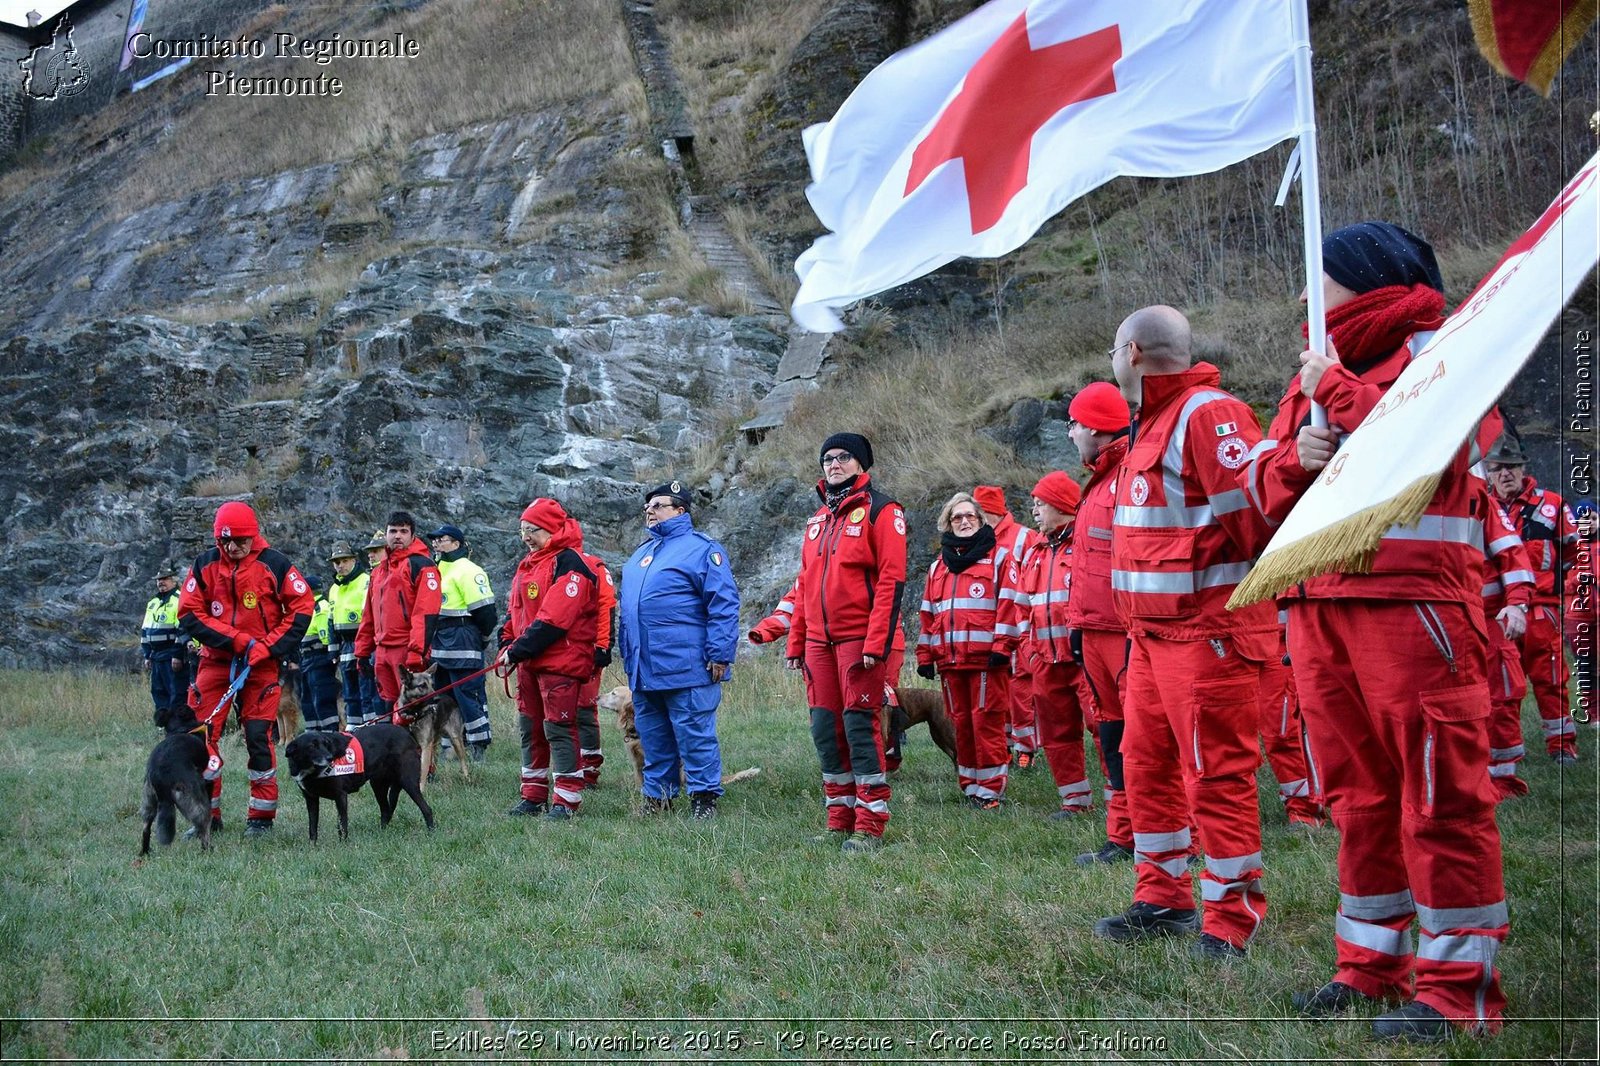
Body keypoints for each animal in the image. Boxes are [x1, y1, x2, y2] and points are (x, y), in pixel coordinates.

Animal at [140, 704, 216, 857]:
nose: (209, 725)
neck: (181, 728)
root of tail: (160, 776)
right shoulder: (207, 782)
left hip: (148, 802)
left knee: (146, 829)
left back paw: (144, 853)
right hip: (196, 800)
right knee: (203, 827)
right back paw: (208, 850)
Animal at [281, 723, 432, 838]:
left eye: (325, 744)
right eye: (312, 746)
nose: (330, 758)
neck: (310, 769)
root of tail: (408, 734)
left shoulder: (340, 796)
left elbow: (342, 824)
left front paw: (343, 845)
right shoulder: (311, 799)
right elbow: (312, 827)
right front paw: (313, 846)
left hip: (408, 782)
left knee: (426, 809)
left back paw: (431, 832)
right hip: (378, 785)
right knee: (386, 811)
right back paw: (381, 834)